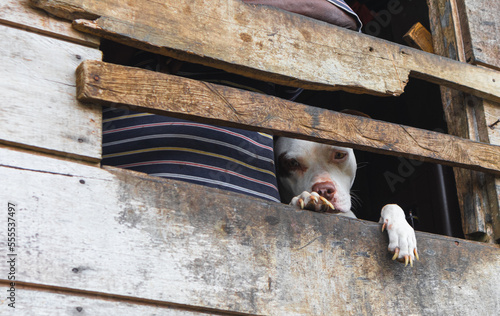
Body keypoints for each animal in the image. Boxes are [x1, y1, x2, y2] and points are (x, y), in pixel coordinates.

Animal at [276, 137, 420, 266]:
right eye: (292, 163)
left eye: (339, 154)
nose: (323, 190)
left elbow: (391, 206)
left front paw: (402, 234)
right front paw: (306, 199)